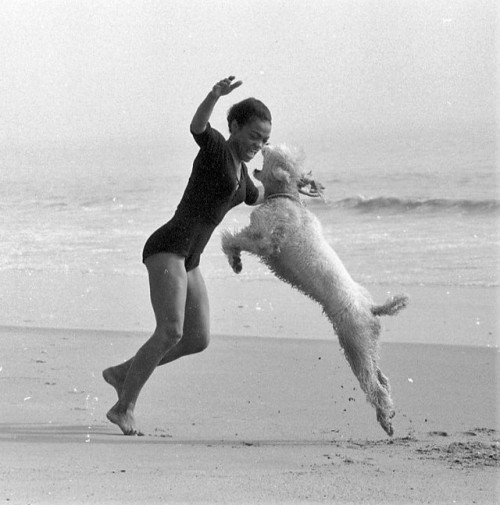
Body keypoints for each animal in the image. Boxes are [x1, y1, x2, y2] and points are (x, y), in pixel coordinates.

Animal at [221, 144, 408, 436]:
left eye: (270, 153)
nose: (264, 145)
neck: (287, 198)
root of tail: (371, 308)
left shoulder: (266, 240)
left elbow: (236, 239)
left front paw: (234, 258)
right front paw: (236, 259)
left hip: (354, 344)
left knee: (374, 386)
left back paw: (385, 420)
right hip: (368, 344)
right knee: (382, 378)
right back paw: (388, 412)